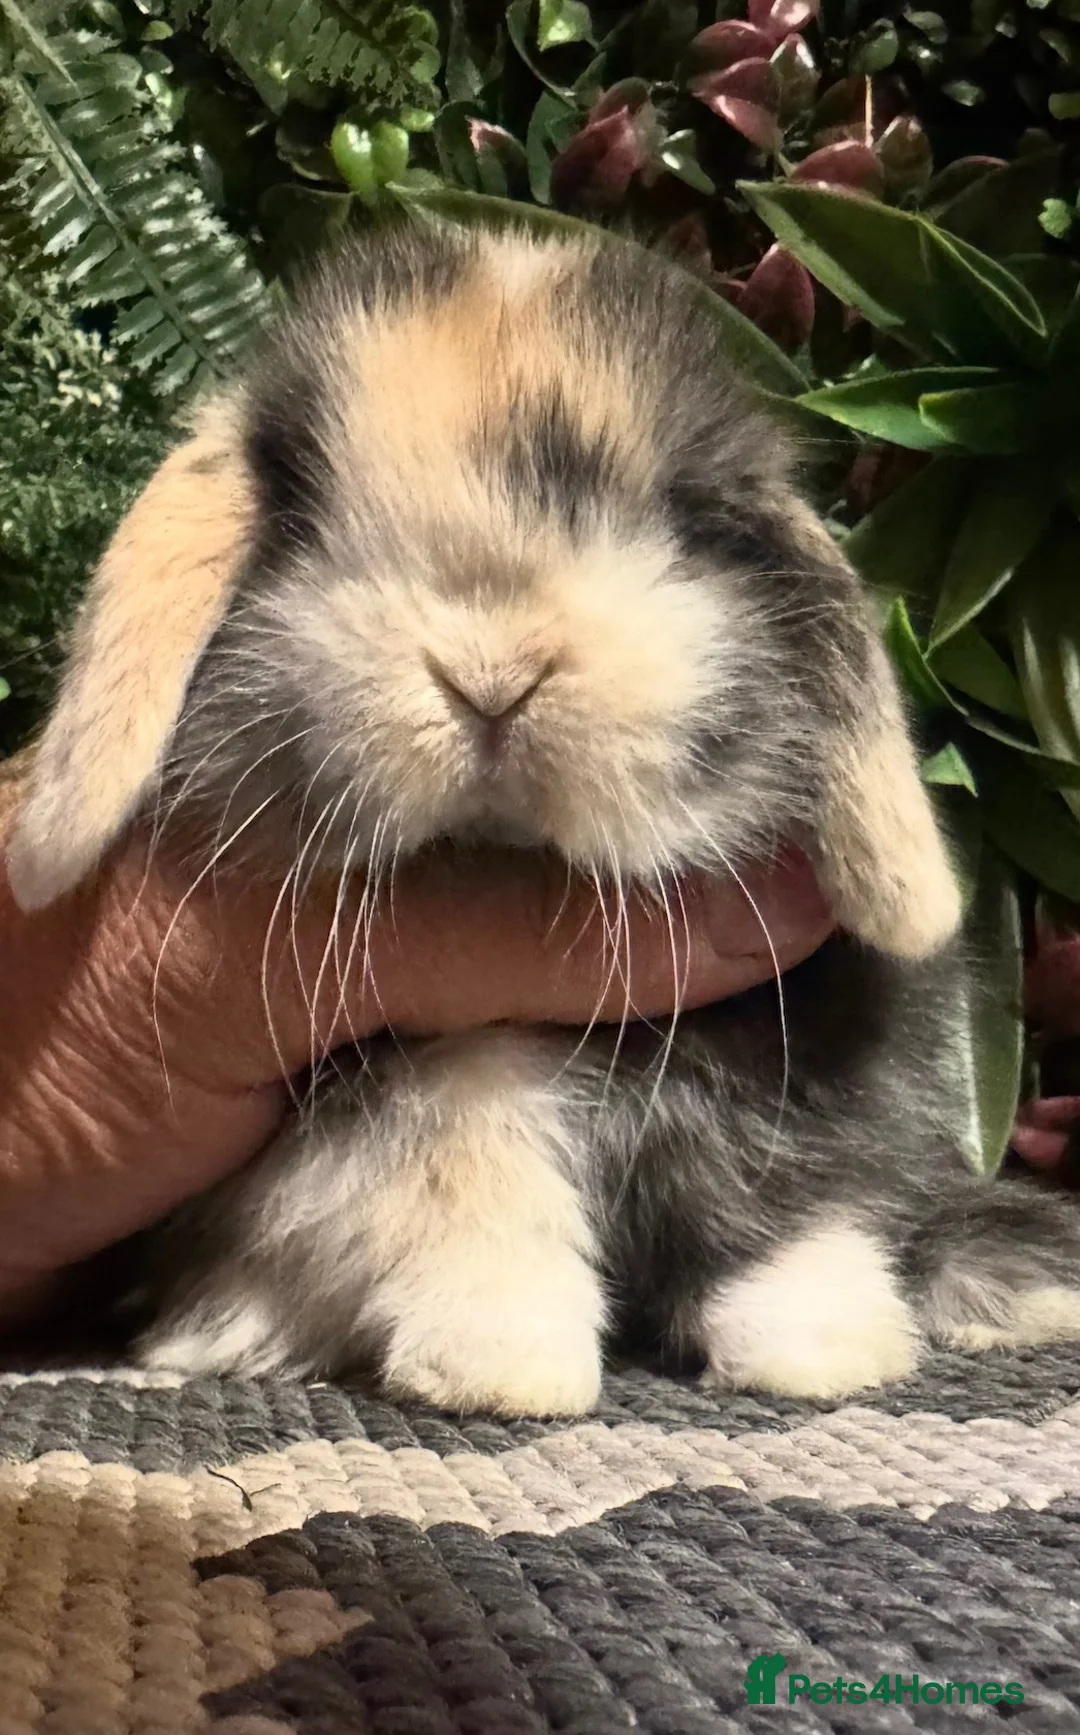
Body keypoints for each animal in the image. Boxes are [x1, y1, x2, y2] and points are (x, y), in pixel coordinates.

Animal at [8, 216, 1080, 1416]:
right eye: (308, 519)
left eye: (680, 518)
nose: (492, 674)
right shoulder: (395, 1095)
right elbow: (464, 1177)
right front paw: (502, 1367)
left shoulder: (811, 1059)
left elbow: (782, 1201)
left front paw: (828, 1345)